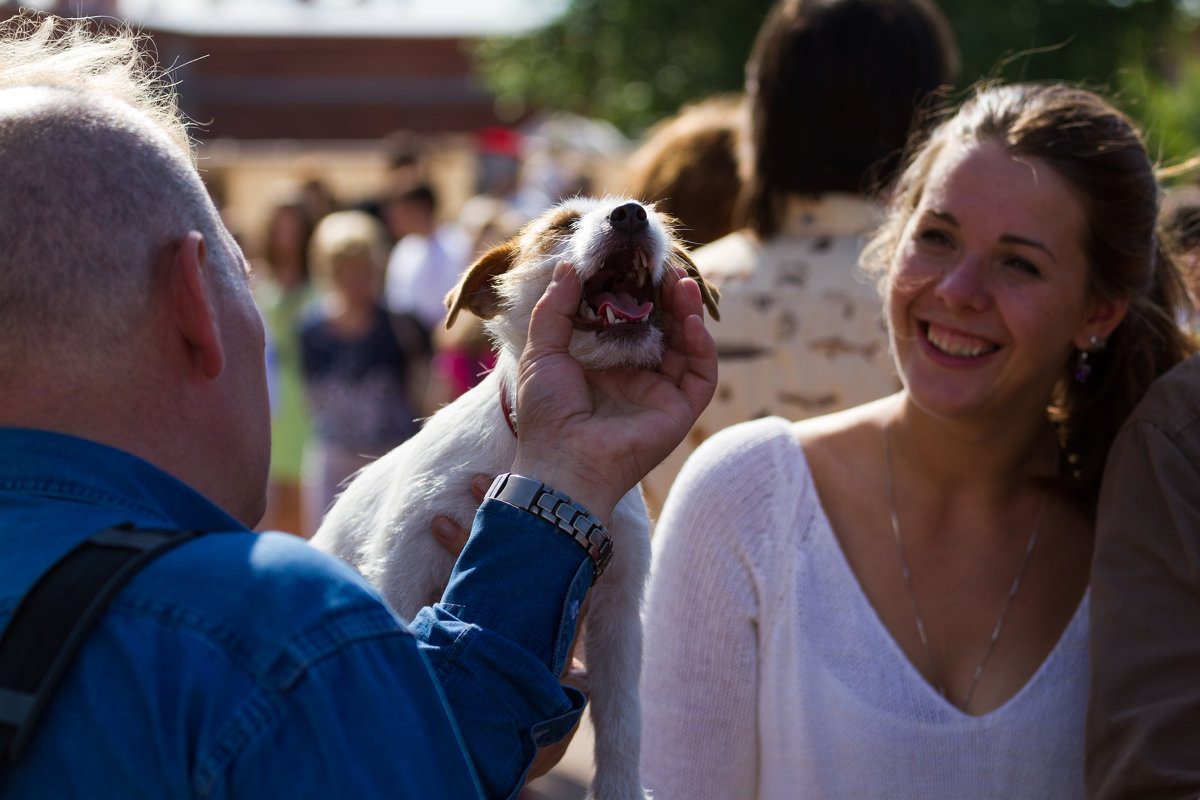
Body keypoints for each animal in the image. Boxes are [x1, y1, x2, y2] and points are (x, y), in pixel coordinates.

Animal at [314, 196, 715, 800]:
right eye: (564, 225)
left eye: (660, 220)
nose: (630, 214)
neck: (522, 452)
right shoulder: (403, 566)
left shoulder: (620, 609)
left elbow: (624, 713)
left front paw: (621, 786)